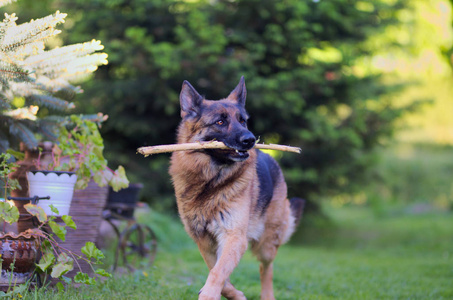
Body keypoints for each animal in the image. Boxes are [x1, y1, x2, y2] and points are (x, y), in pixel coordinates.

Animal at [170, 77, 304, 300]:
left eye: (243, 121)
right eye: (220, 122)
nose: (250, 140)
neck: (212, 182)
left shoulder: (234, 236)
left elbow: (218, 272)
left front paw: (209, 295)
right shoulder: (204, 241)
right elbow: (216, 270)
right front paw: (234, 294)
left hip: (267, 244)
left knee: (266, 268)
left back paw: (268, 295)